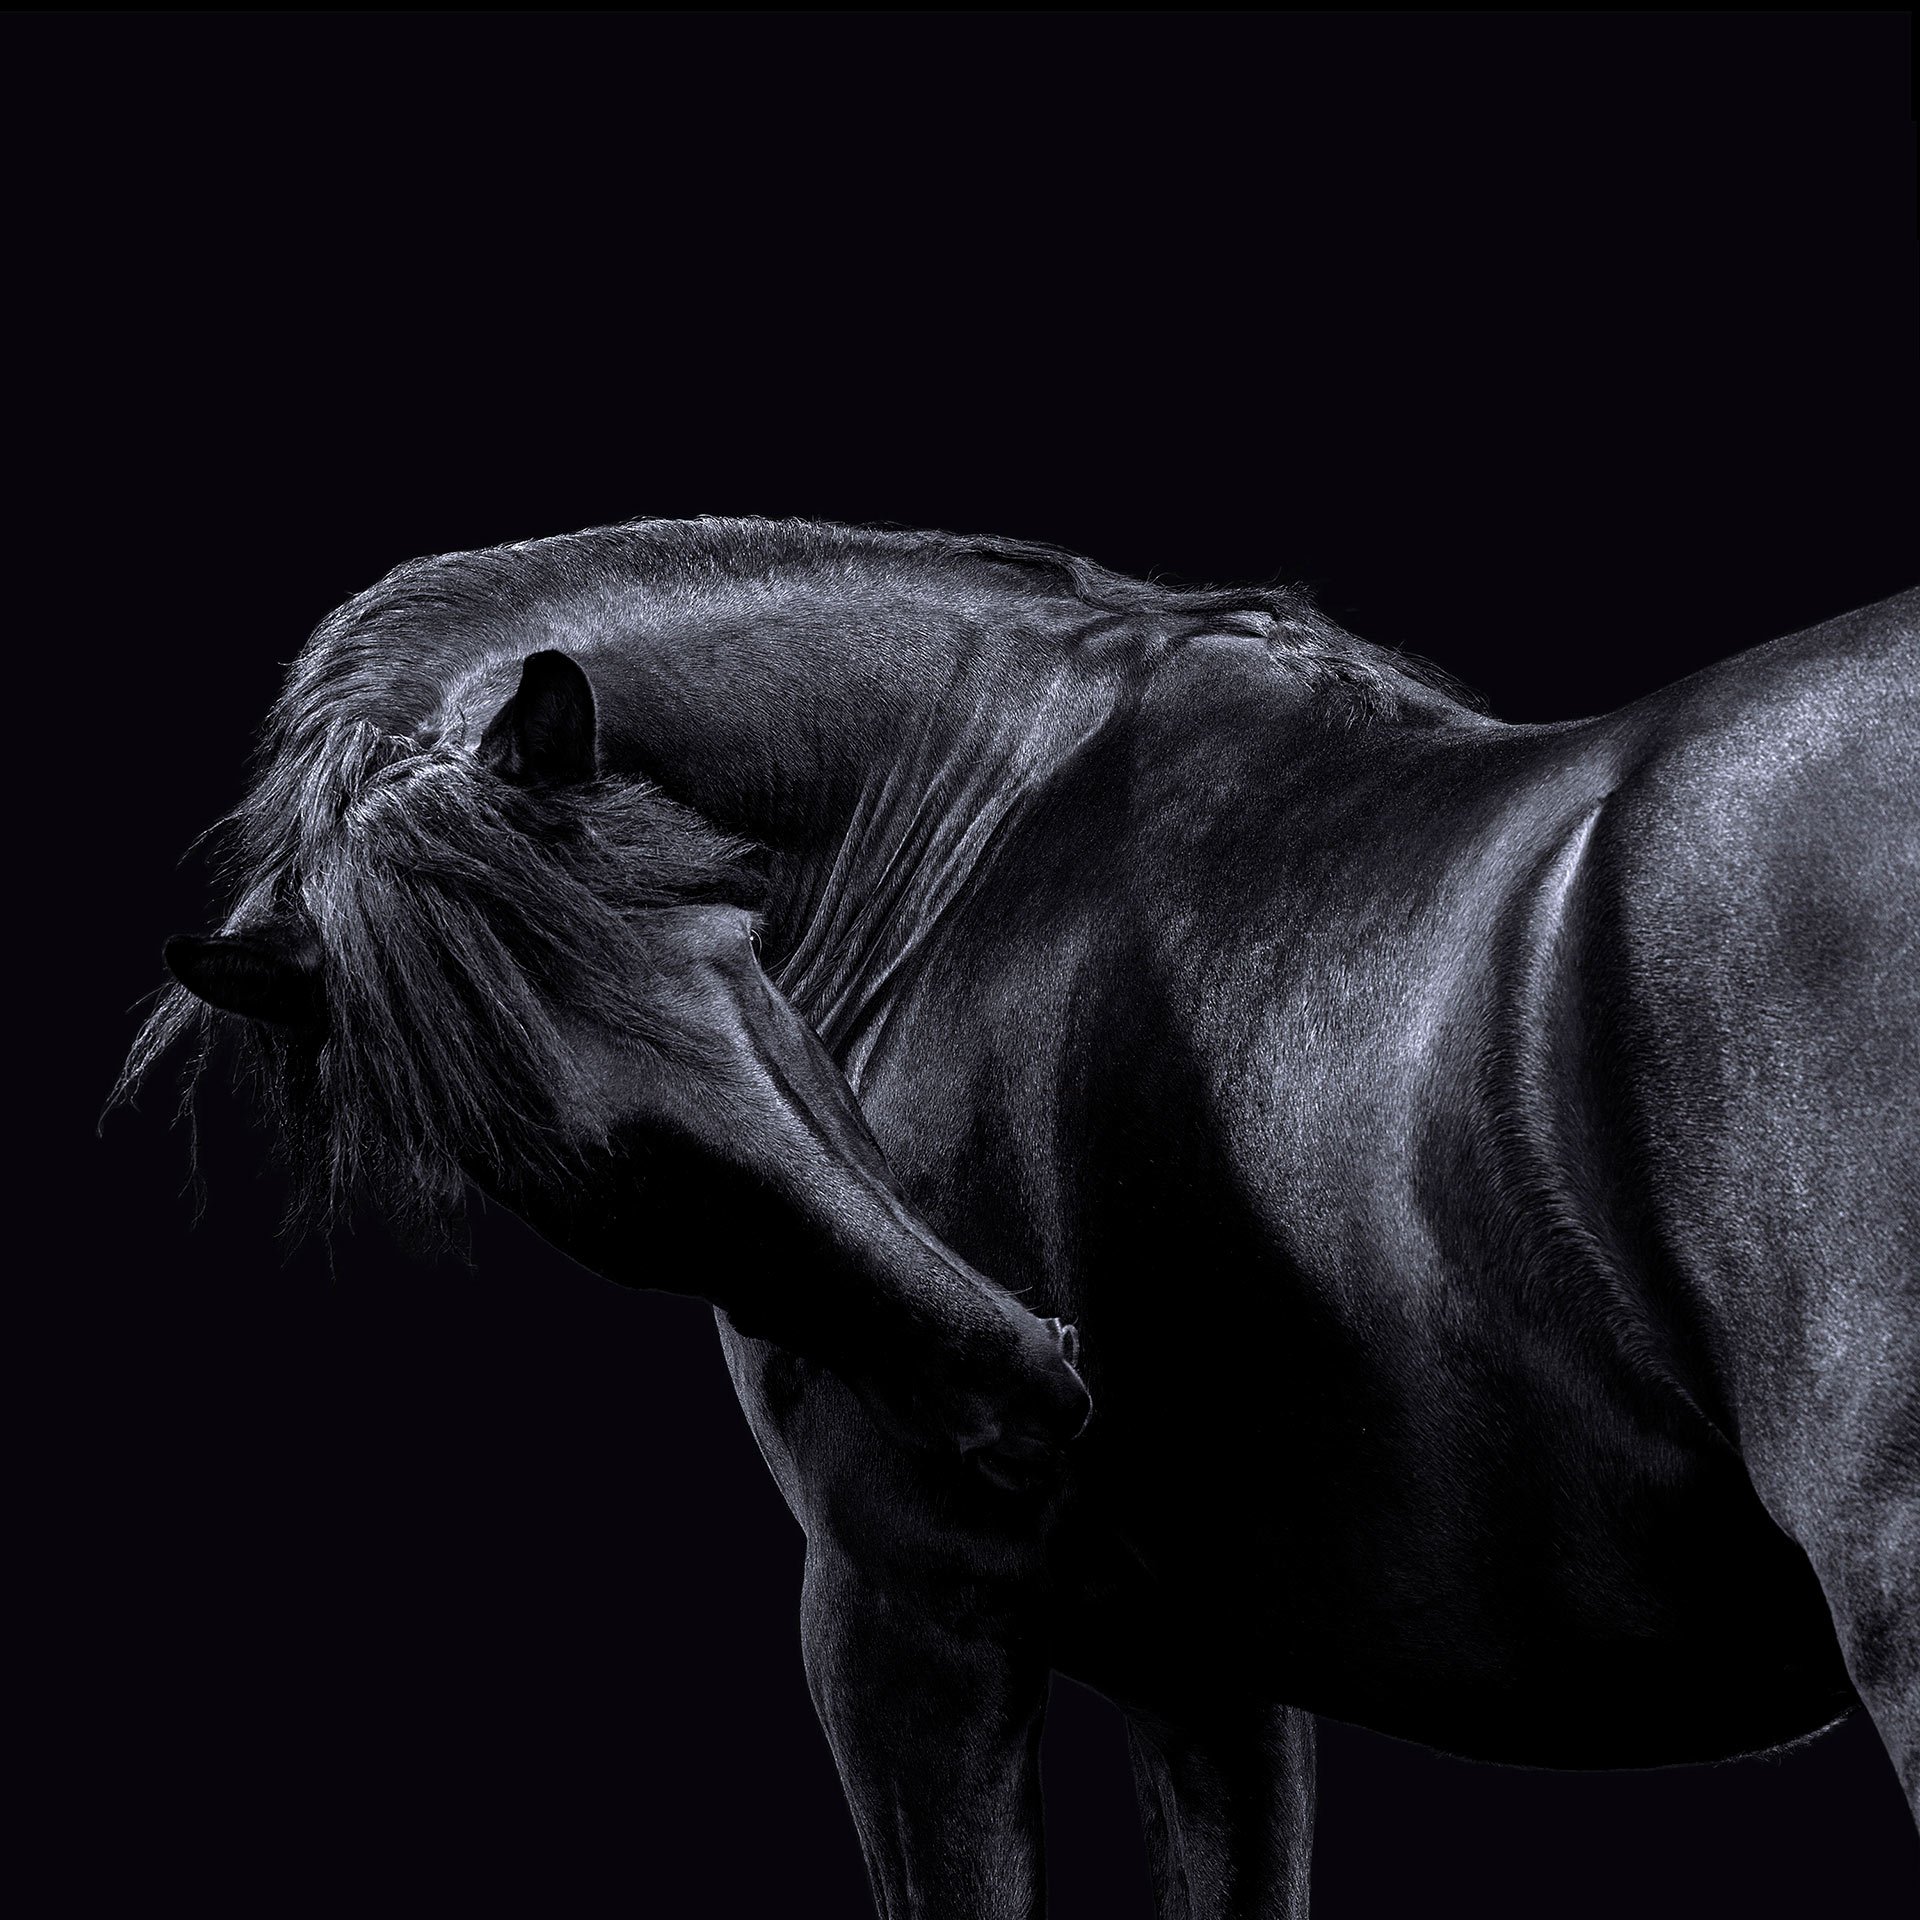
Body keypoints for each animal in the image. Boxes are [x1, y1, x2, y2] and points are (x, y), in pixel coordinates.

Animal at [116, 519, 1919, 1917]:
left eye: (735, 954)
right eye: (549, 1142)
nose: (1031, 1379)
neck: (966, 823)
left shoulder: (905, 1619)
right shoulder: (1213, 1674)